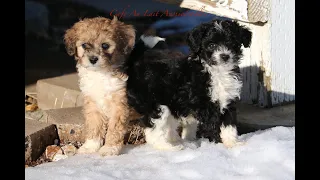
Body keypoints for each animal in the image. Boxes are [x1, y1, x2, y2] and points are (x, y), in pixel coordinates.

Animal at [126, 19, 251, 149]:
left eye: (232, 43)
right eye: (212, 45)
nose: (225, 56)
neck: (216, 71)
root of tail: (136, 65)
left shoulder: (228, 102)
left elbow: (229, 126)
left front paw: (232, 144)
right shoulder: (205, 106)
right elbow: (213, 125)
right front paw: (218, 144)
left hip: (172, 105)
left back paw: (176, 141)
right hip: (157, 106)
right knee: (153, 130)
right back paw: (170, 147)